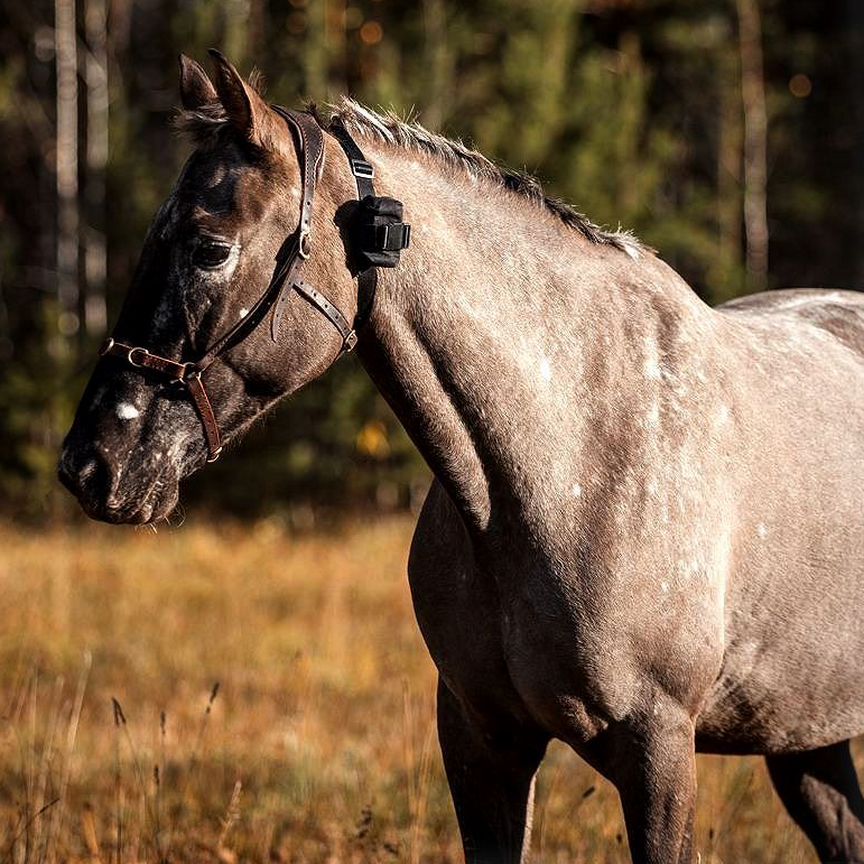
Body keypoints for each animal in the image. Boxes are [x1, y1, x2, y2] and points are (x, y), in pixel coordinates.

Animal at [57, 50, 864, 860]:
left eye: (210, 248)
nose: (89, 464)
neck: (570, 461)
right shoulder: (482, 740)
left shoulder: (659, 751)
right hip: (807, 739)